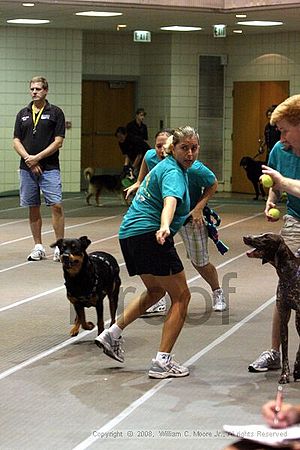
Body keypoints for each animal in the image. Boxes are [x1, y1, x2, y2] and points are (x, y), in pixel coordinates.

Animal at [244, 232, 300, 384]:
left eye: (266, 237)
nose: (246, 237)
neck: (289, 272)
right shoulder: (283, 317)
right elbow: (285, 352)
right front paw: (285, 375)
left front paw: (297, 369)